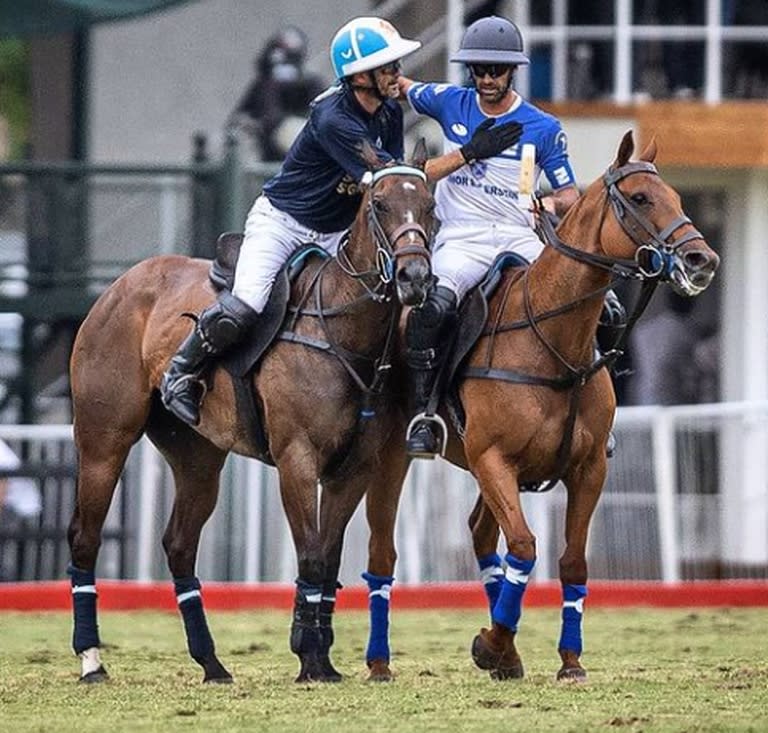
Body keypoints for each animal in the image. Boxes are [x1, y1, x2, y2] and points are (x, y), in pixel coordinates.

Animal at [66, 146, 436, 684]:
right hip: (104, 440)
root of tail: (117, 286)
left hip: (197, 455)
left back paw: (212, 662)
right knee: (84, 537)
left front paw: (322, 656)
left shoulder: (354, 468)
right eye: (380, 204)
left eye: (429, 205)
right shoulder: (296, 458)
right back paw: (92, 659)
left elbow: (328, 558)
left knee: (179, 543)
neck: (343, 329)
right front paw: (308, 655)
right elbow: (310, 553)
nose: (414, 279)